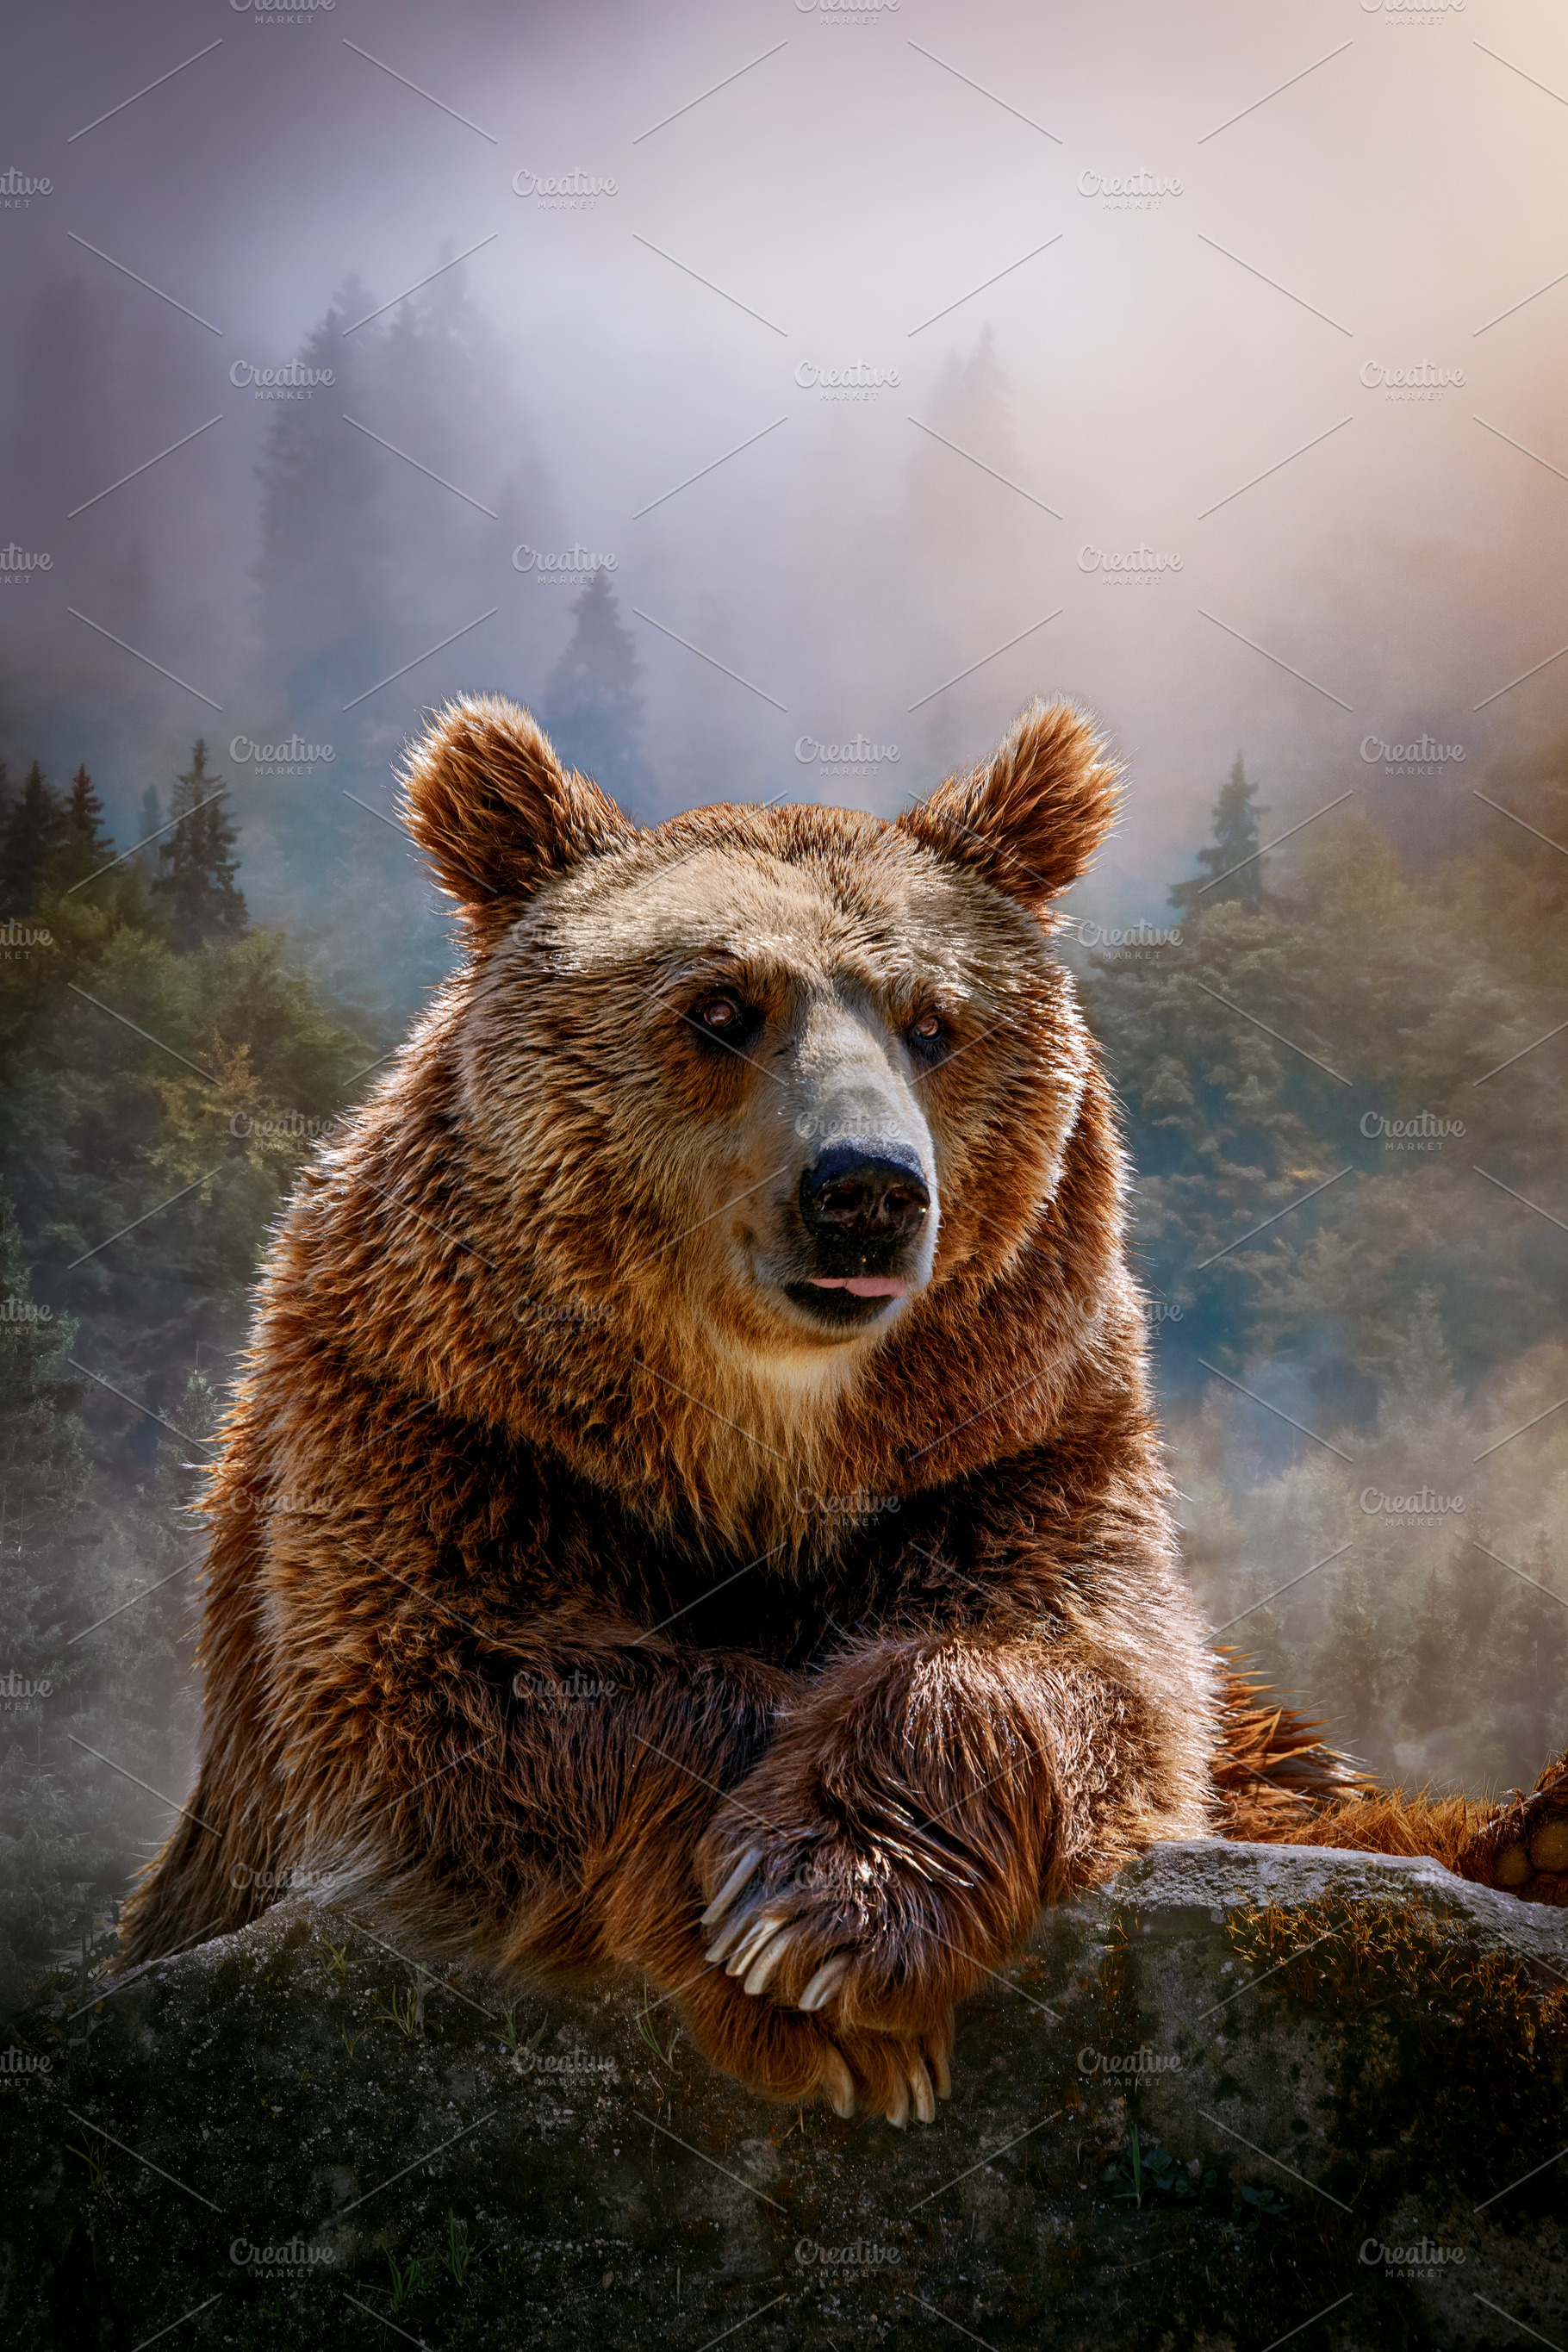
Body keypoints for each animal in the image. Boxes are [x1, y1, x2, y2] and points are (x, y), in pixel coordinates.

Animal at [116, 692, 1561, 2125]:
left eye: (935, 1021)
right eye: (720, 1006)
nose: (866, 1186)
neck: (757, 1435)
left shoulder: (1019, 1449)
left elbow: (1085, 1672)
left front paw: (830, 1916)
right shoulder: (441, 1433)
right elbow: (462, 1685)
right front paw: (793, 1976)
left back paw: (1528, 1835)